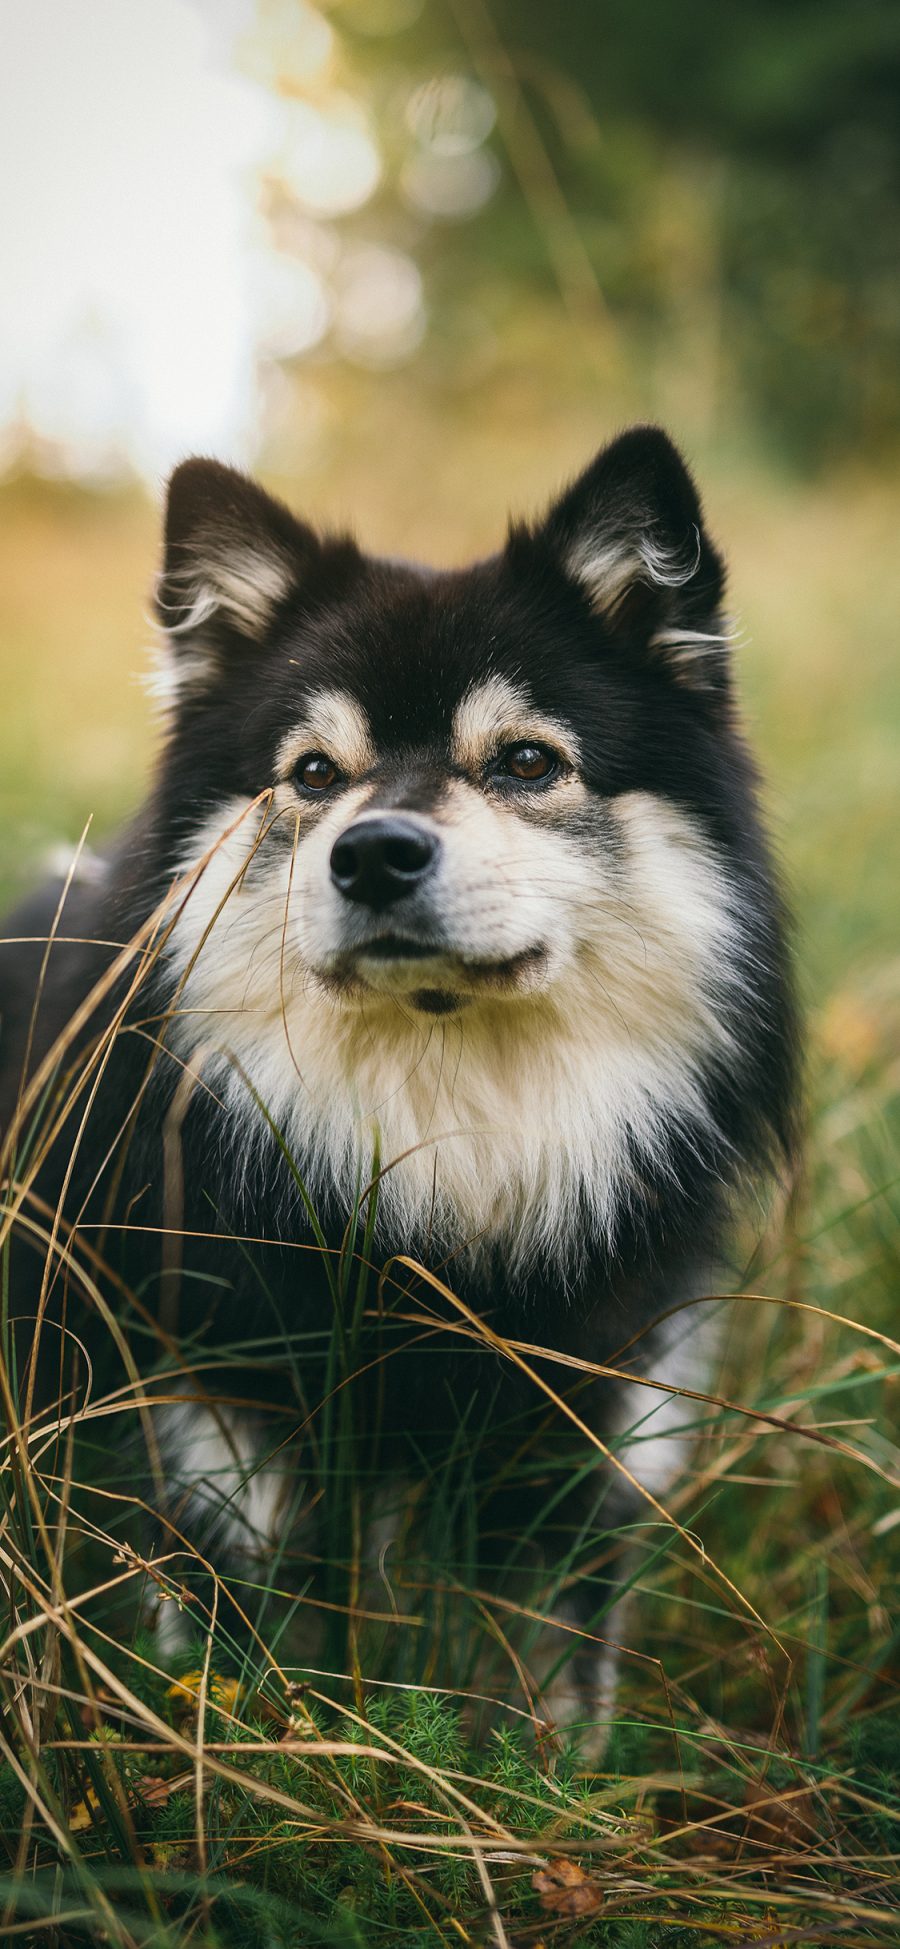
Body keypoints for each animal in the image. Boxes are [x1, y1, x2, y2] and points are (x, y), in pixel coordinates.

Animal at [0, 430, 794, 1754]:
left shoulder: (579, 1422)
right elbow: (245, 1656)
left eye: (526, 761)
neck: (438, 1137)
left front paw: (546, 1779)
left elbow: (547, 1674)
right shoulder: (223, 1415)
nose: (372, 853)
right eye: (315, 773)